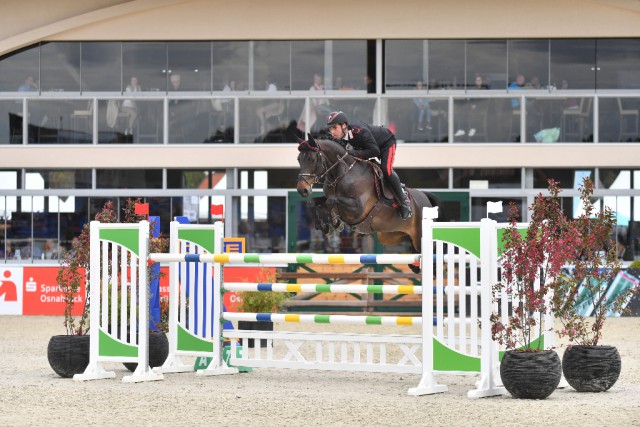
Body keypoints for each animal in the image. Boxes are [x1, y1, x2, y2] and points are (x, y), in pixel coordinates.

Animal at [298, 136, 442, 274]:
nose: (302, 190)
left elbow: (331, 201)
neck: (342, 173)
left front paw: (336, 223)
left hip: (419, 238)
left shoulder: (358, 209)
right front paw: (324, 226)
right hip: (392, 236)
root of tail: (426, 198)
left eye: (312, 159)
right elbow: (313, 202)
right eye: (299, 159)